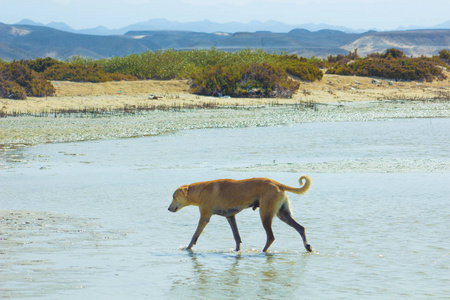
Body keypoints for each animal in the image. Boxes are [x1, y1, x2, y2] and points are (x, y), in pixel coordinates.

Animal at [167, 175, 312, 252]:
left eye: (173, 197)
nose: (168, 209)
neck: (201, 191)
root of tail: (278, 184)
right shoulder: (230, 217)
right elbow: (236, 236)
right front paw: (236, 251)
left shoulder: (204, 217)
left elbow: (194, 235)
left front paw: (187, 248)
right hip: (283, 214)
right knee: (301, 228)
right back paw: (307, 246)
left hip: (265, 214)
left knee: (271, 237)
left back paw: (263, 251)